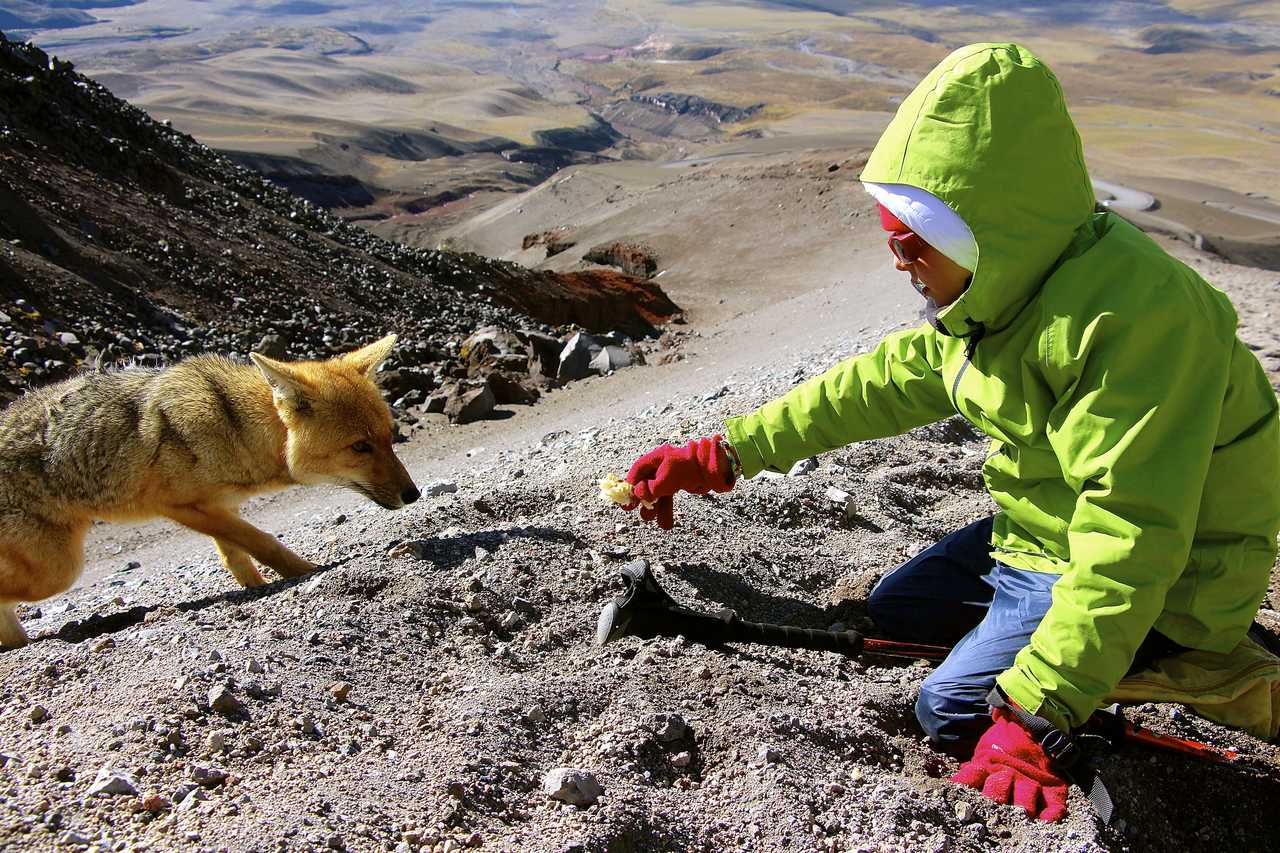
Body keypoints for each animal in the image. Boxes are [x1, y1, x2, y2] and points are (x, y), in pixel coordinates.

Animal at [0, 334, 420, 648]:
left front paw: (258, 586)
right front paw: (308, 572)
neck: (233, 426)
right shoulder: (181, 506)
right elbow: (262, 541)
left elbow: (237, 553)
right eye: (360, 447)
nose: (413, 494)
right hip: (59, 569)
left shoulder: (219, 507)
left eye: (389, 437)